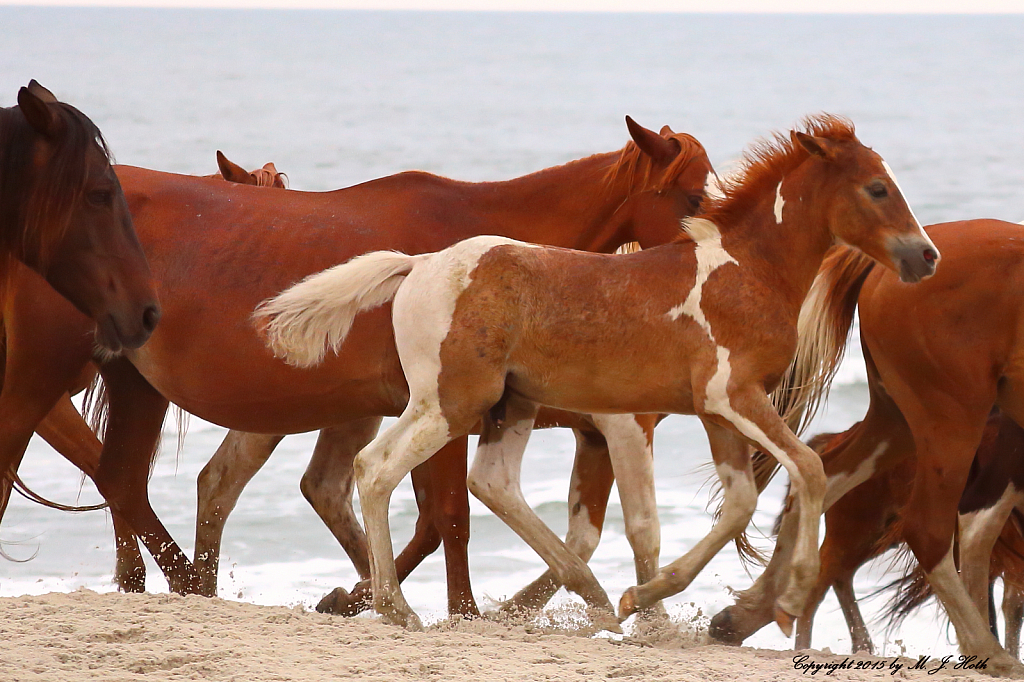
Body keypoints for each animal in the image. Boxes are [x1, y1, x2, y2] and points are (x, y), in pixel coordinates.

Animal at [262, 114, 937, 630]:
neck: (744, 270)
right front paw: (786, 595)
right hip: (451, 403)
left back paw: (582, 592)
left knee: (491, 481)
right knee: (376, 470)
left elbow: (740, 502)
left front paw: (650, 599)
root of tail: (419, 264)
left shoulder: (716, 411)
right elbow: (808, 469)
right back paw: (398, 608)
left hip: (510, 406)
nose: (925, 255)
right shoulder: (730, 399)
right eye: (878, 188)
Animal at [712, 220, 1024, 671]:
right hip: (951, 417)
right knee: (930, 529)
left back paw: (750, 611)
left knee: (822, 475)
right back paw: (989, 653)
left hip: (898, 423)